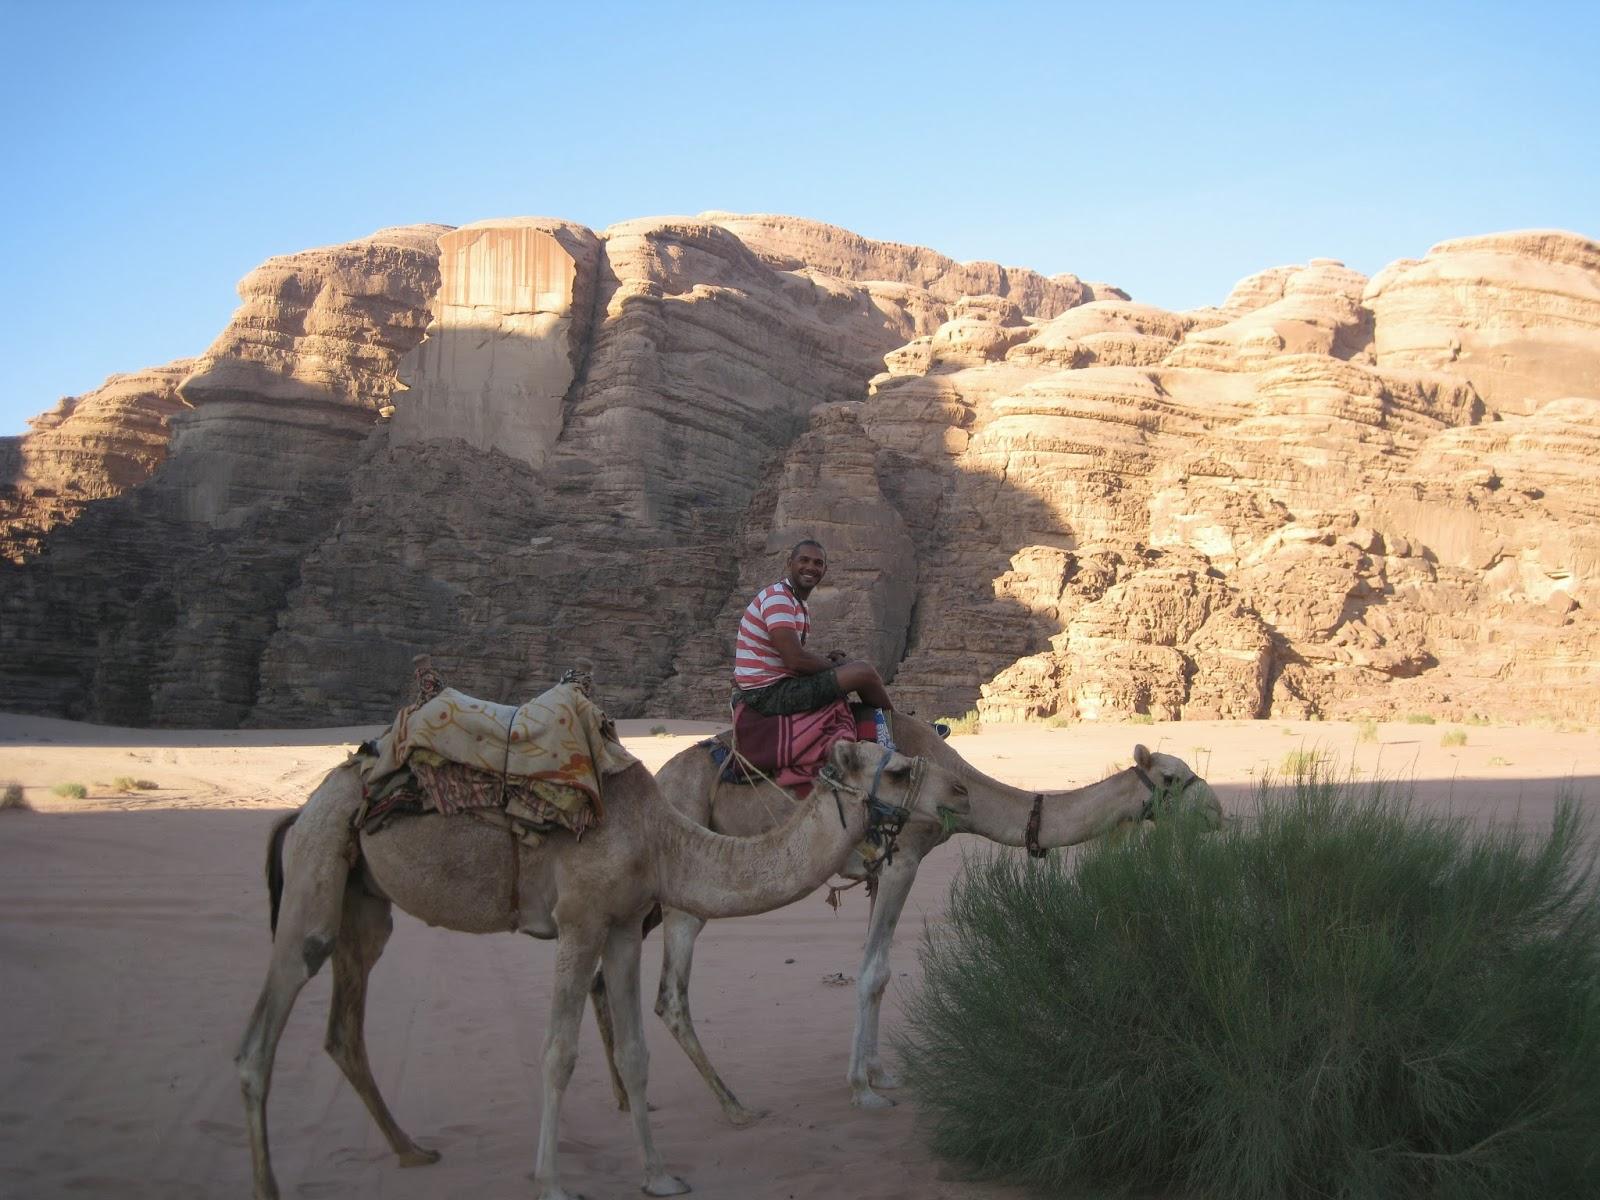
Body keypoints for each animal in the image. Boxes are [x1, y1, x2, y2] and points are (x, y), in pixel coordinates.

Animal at [233, 742, 966, 1200]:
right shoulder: (580, 921)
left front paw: (660, 1176)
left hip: (363, 901)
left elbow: (637, 1052)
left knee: (343, 1029)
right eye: (898, 768)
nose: (959, 789)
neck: (663, 842)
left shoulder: (622, 926)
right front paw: (553, 1183)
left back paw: (413, 1151)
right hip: (316, 872)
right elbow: (558, 1053)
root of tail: (302, 808)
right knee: (259, 1037)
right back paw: (267, 1185)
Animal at [595, 713, 1216, 1120]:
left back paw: (627, 1096)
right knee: (670, 995)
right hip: (684, 883)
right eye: (1170, 777)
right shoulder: (903, 858)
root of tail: (661, 777)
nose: (1213, 809)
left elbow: (880, 972)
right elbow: (873, 973)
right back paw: (731, 1106)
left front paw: (877, 1071)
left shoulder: (881, 867)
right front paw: (862, 1089)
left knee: (606, 972)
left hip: (652, 896)